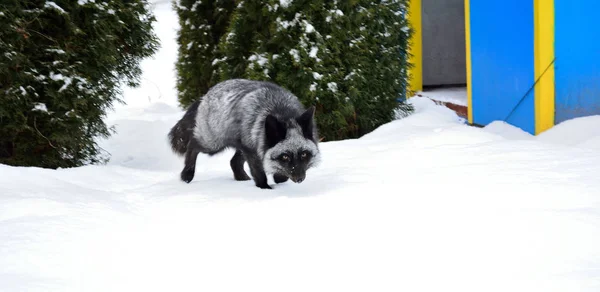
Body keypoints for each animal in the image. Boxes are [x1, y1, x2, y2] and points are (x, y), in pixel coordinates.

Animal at [166, 78, 322, 189]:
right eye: (285, 156)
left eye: (304, 154)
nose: (299, 179)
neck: (281, 111)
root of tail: (205, 96)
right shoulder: (252, 151)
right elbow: (260, 174)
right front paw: (265, 189)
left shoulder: (253, 147)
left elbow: (280, 174)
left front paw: (278, 178)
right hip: (213, 144)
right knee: (193, 145)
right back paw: (187, 174)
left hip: (240, 145)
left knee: (233, 161)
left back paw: (241, 178)